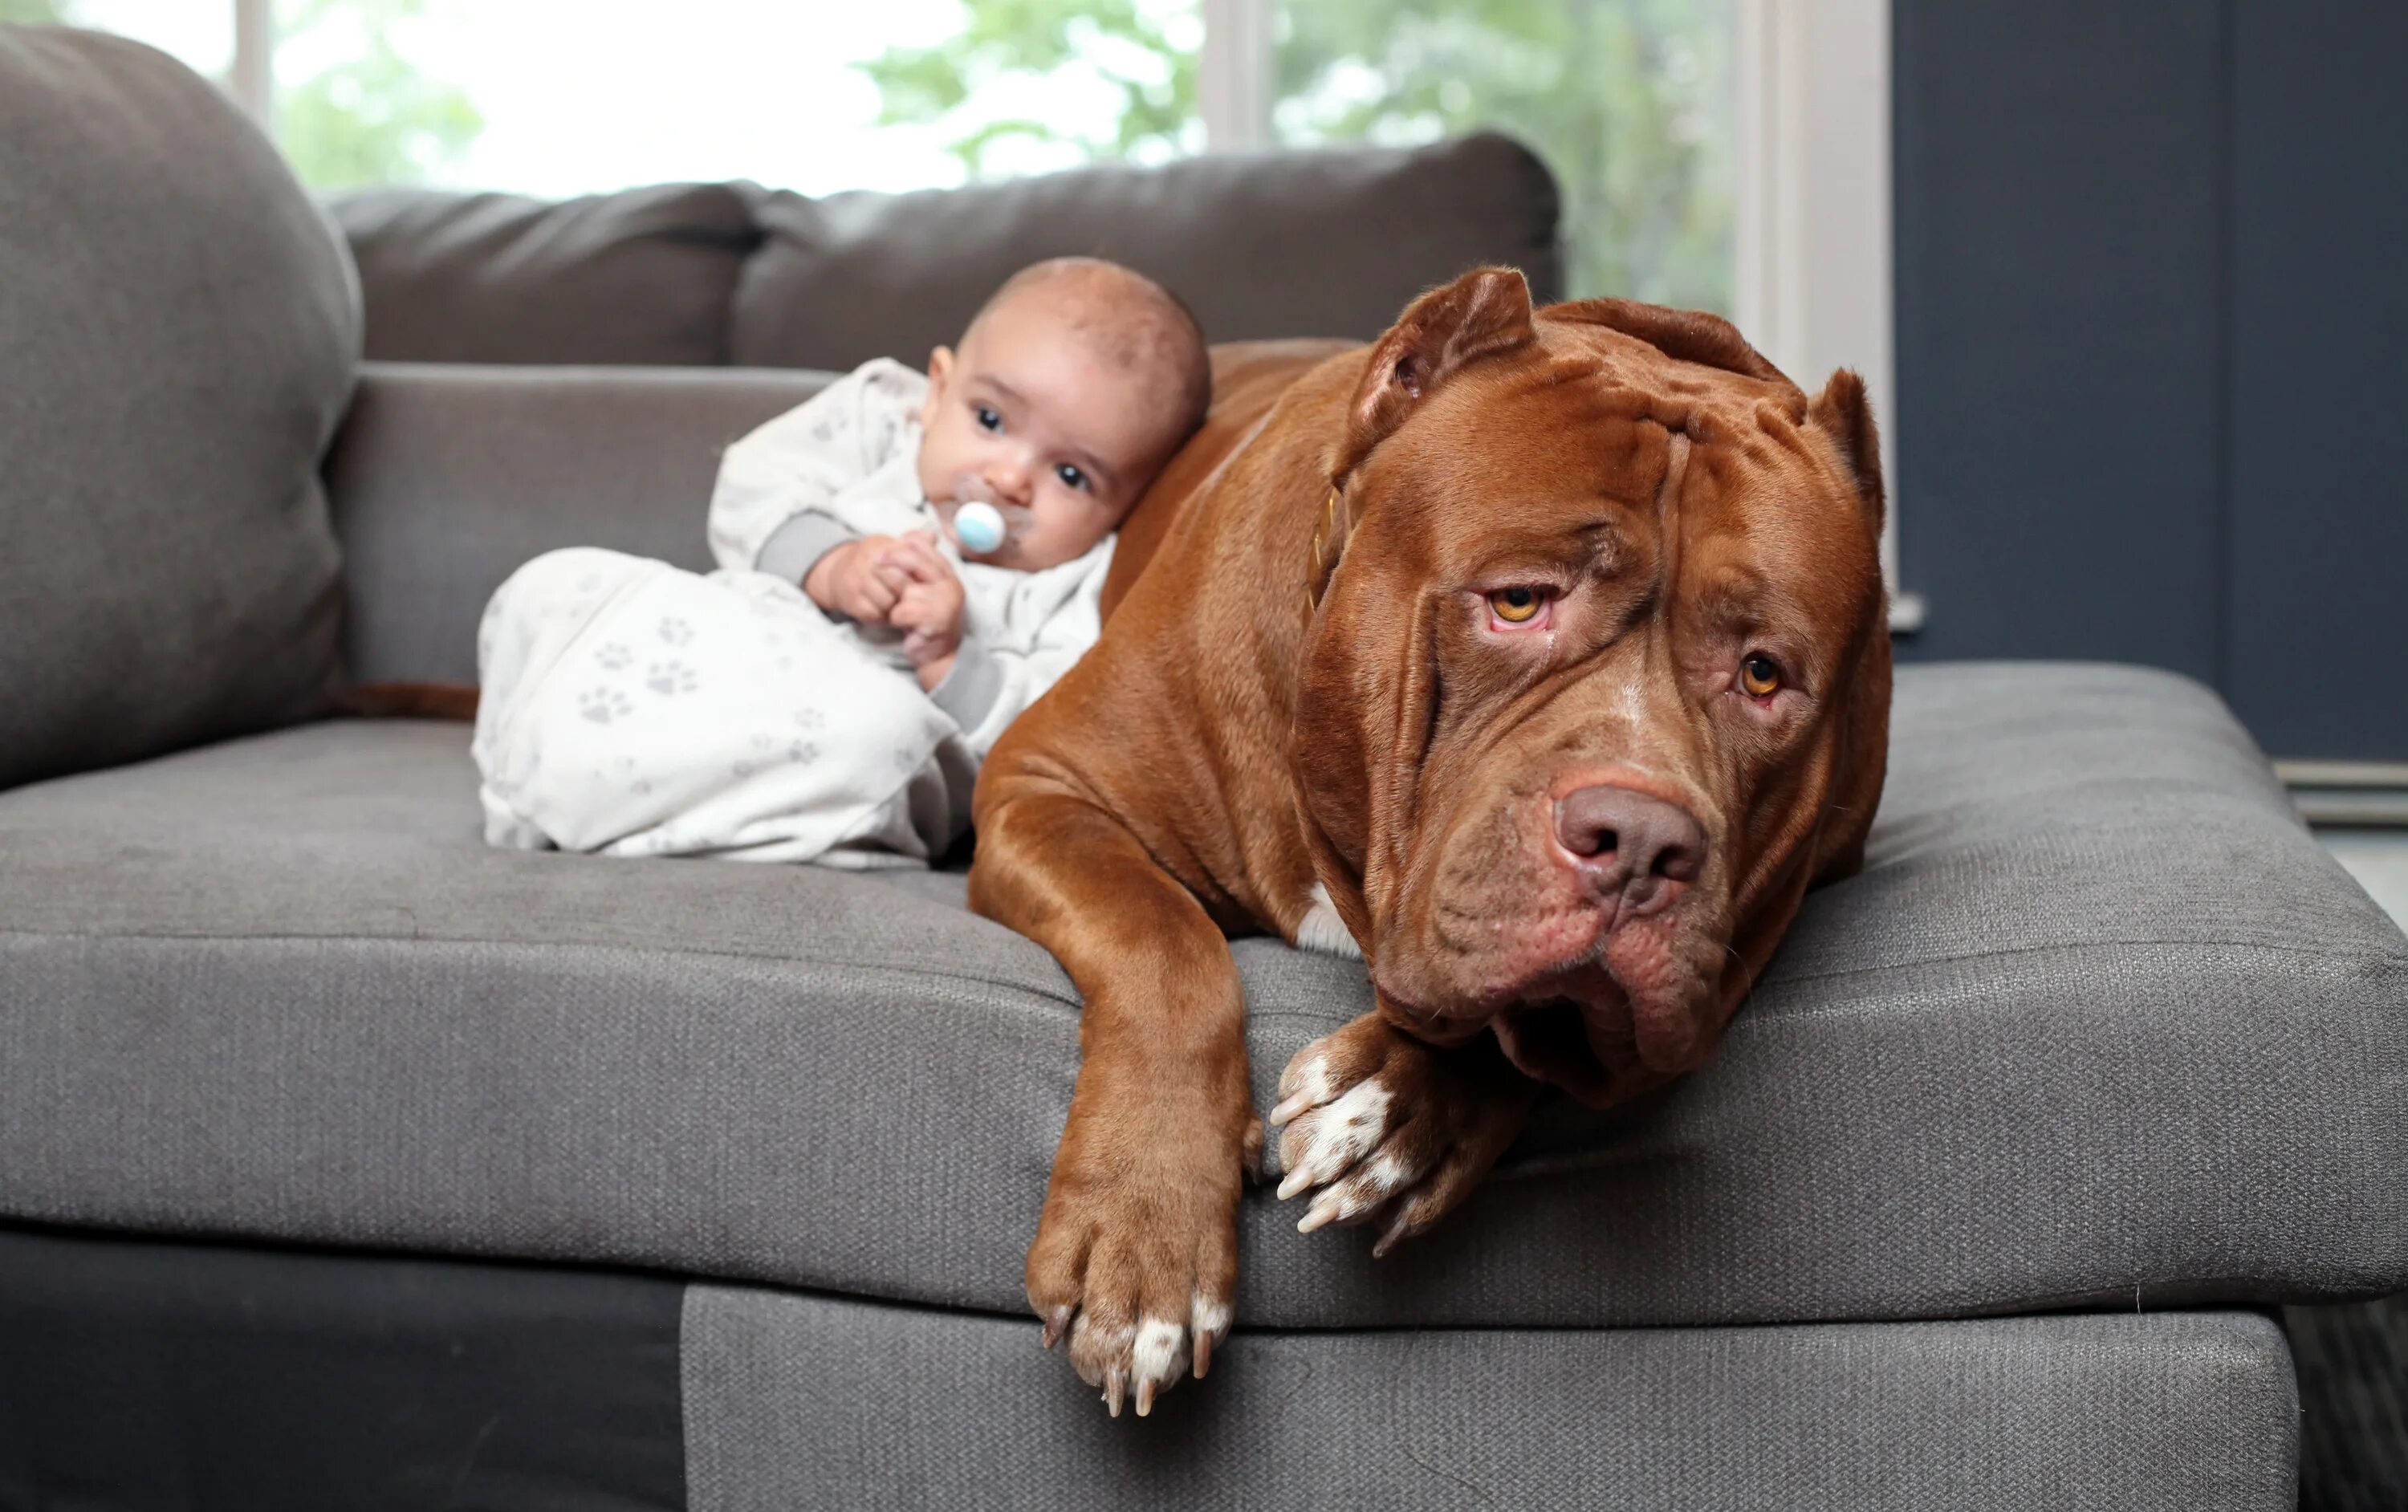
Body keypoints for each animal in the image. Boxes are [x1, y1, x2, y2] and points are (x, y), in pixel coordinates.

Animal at [968, 262, 1888, 1416]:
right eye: (1518, 602)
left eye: (1764, 674)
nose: (1638, 841)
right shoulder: (1042, 785)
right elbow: (1164, 943)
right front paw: (1145, 1235)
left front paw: (1398, 1109)